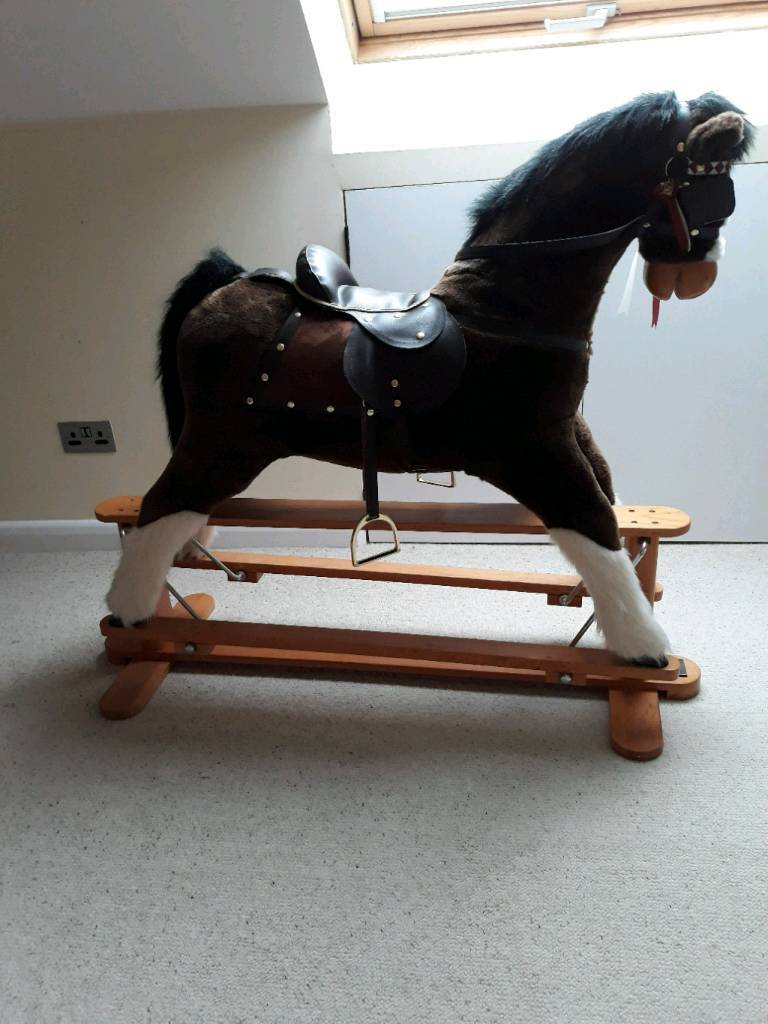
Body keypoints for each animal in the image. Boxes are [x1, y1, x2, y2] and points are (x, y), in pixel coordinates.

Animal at [107, 90, 752, 667]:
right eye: (714, 189)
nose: (701, 274)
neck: (505, 308)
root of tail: (226, 281)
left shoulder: (569, 431)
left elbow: (611, 508)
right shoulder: (534, 453)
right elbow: (595, 526)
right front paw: (644, 646)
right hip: (223, 445)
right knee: (160, 507)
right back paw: (130, 614)